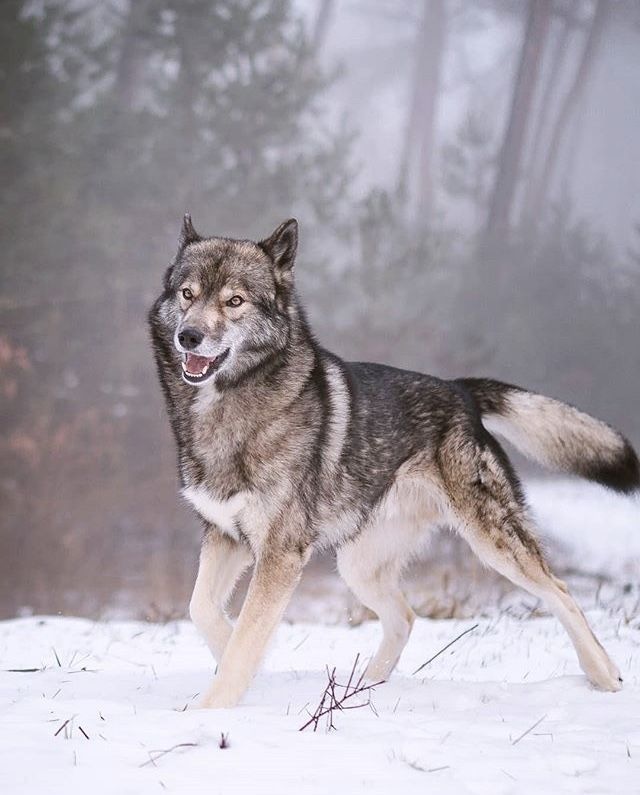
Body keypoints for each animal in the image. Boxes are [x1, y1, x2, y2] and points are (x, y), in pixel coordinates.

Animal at [149, 215, 639, 708]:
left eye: (235, 301)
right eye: (188, 293)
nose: (188, 336)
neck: (227, 410)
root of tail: (461, 392)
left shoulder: (279, 554)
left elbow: (244, 640)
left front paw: (213, 709)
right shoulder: (225, 535)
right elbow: (205, 612)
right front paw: (250, 673)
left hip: (492, 542)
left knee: (560, 591)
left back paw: (604, 675)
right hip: (357, 565)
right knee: (405, 616)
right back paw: (363, 689)